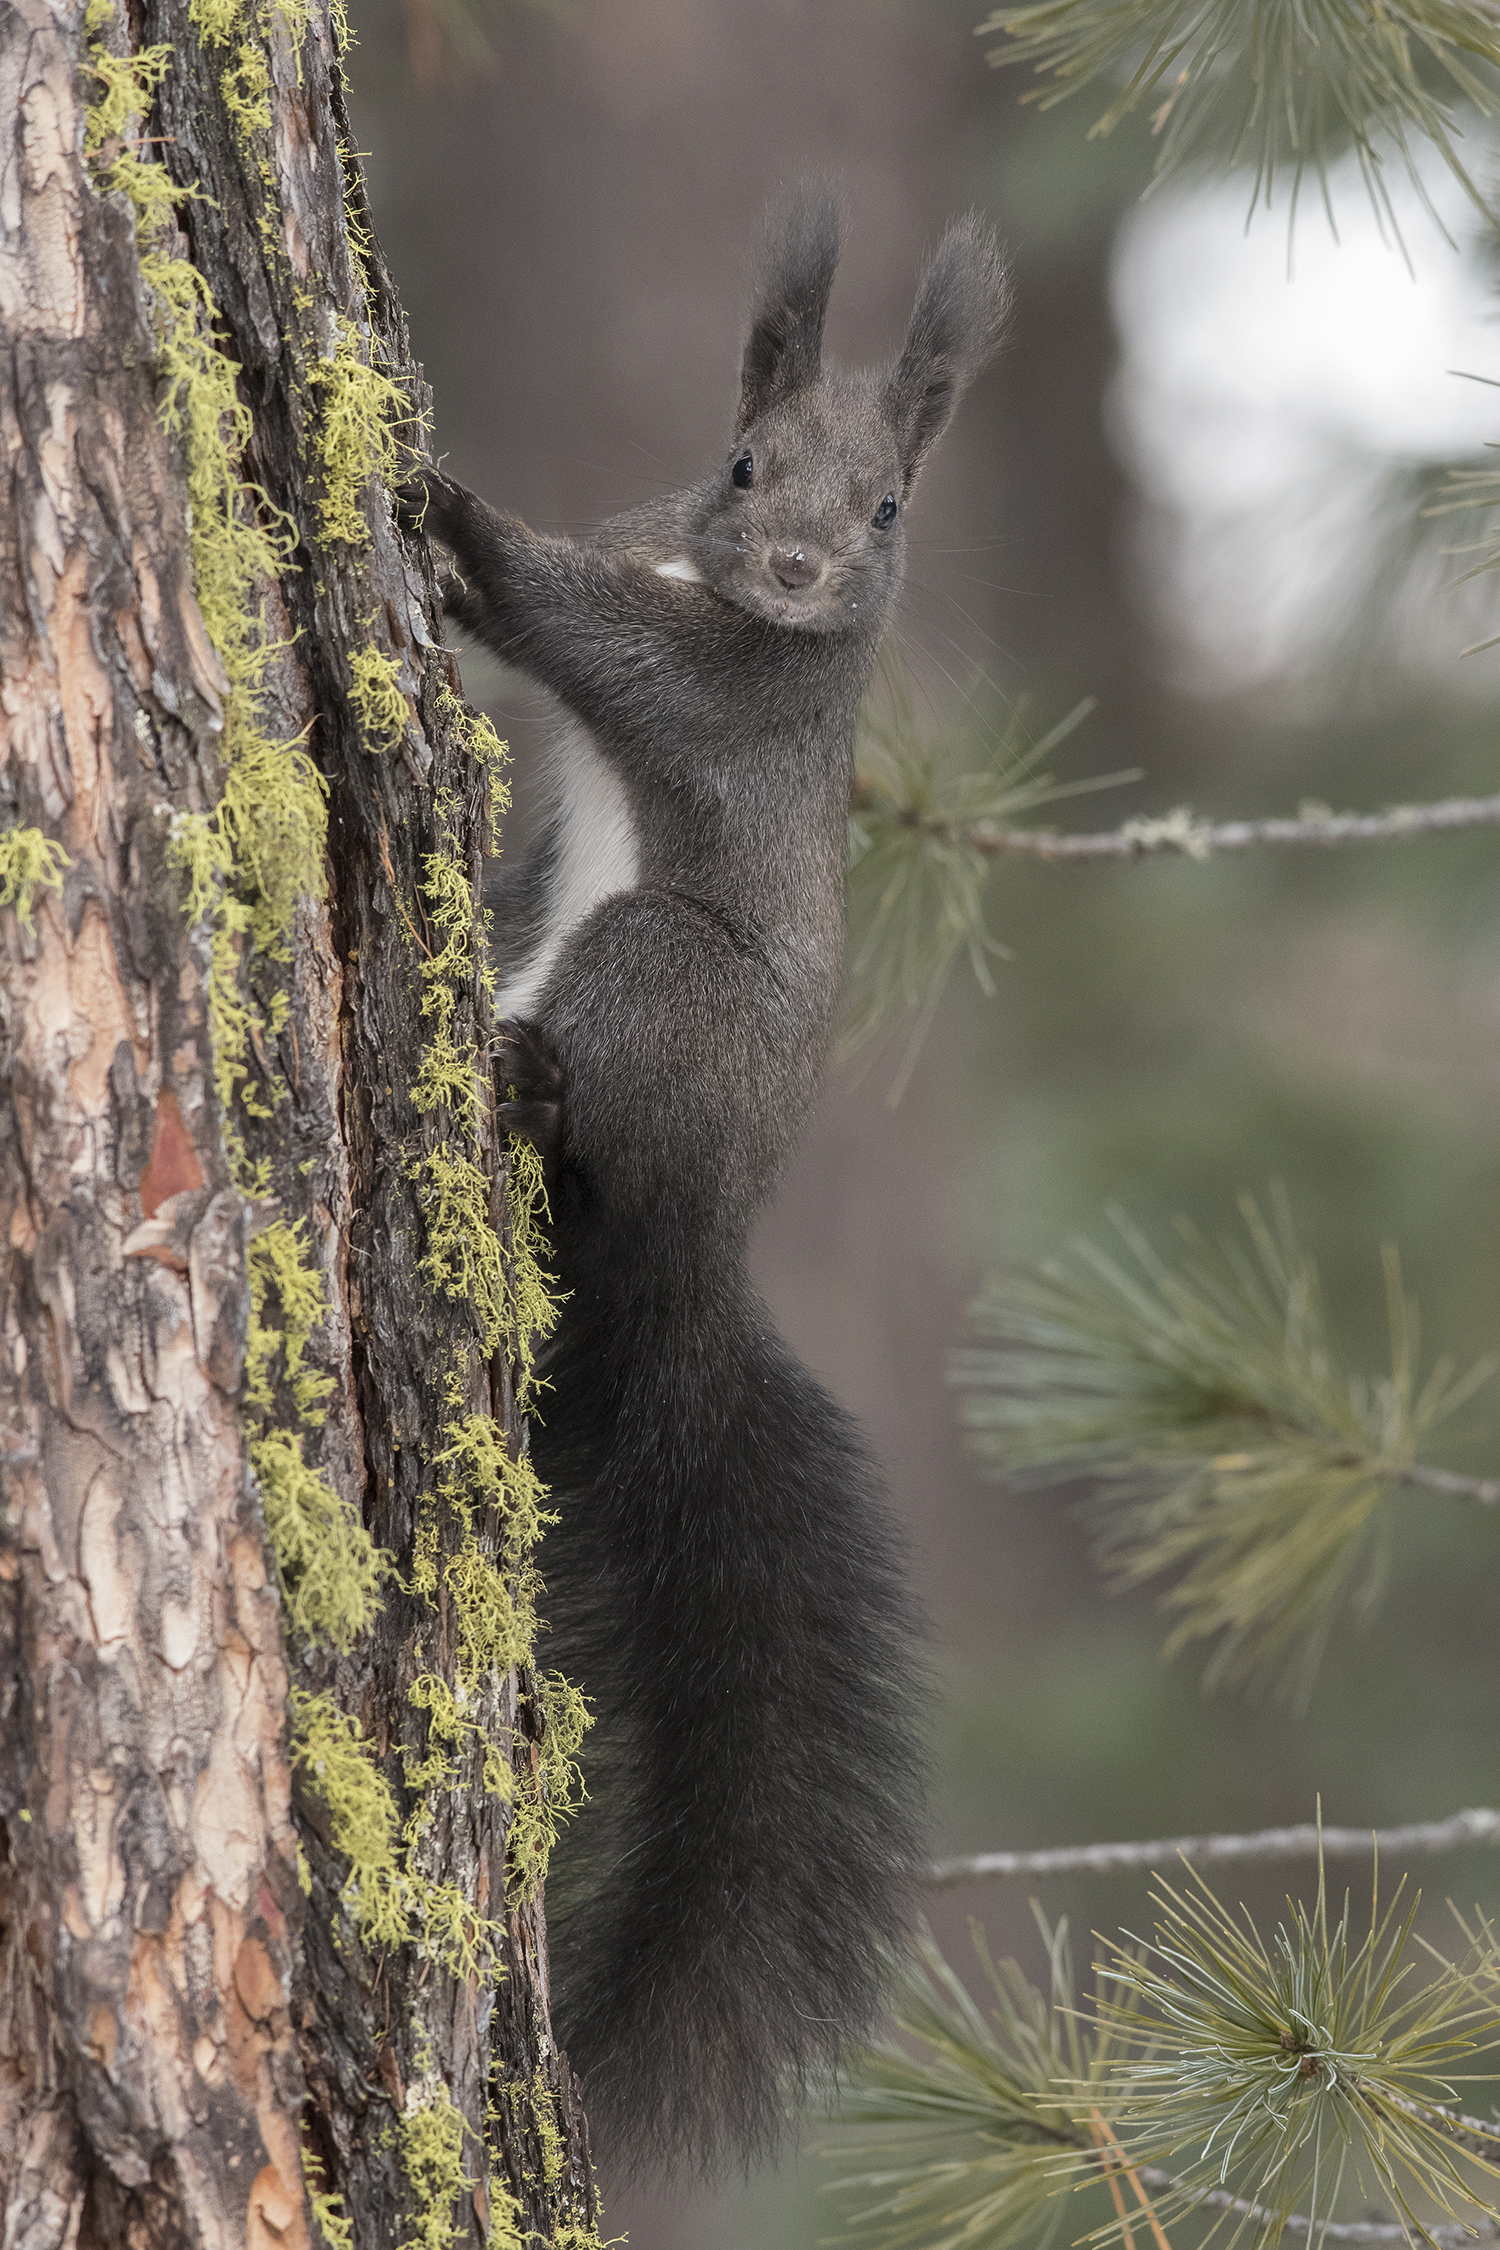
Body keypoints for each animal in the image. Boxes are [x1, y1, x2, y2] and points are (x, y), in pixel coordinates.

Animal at [399, 190, 1011, 2174]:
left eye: (889, 507)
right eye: (743, 465)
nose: (805, 571)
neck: (720, 590)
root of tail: (699, 1261)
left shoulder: (733, 696)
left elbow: (602, 642)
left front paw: (456, 517)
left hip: (649, 972)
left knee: (589, 1139)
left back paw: (526, 1091)